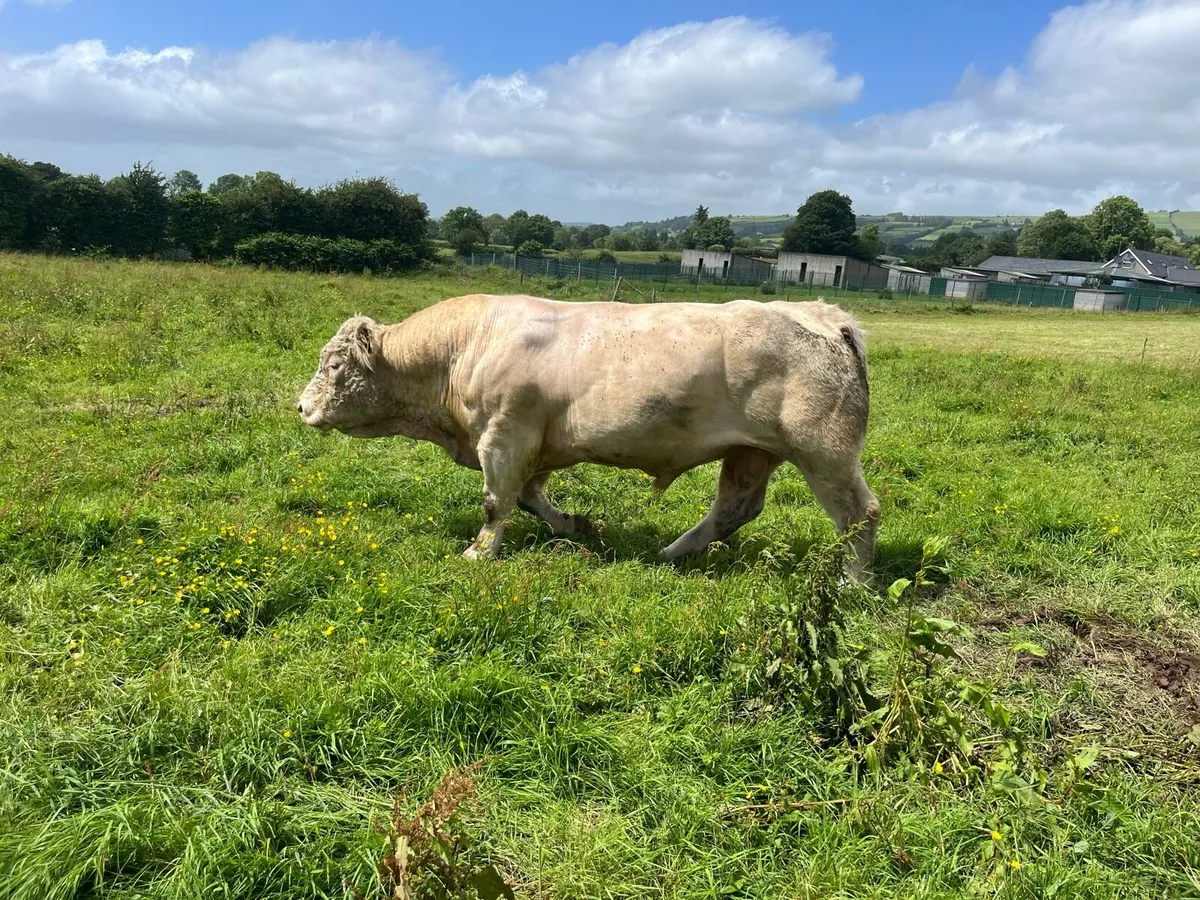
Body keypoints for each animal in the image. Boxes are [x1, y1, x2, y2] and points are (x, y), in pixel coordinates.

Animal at [297, 293, 880, 582]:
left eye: (334, 365)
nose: (301, 407)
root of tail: (823, 314)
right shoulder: (539, 444)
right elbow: (530, 497)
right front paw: (574, 525)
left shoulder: (503, 435)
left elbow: (496, 502)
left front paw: (479, 554)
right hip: (751, 451)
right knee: (736, 507)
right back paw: (673, 552)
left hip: (823, 449)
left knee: (860, 514)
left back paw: (855, 582)